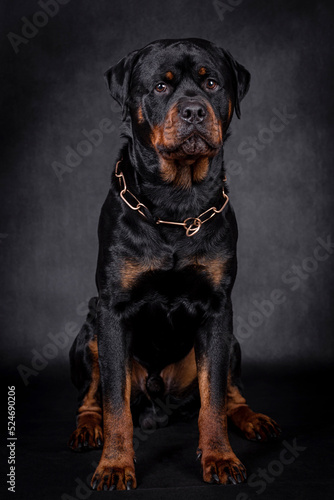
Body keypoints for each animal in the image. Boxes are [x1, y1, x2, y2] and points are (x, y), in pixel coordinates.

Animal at [68, 38, 282, 488]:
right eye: (161, 87)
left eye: (212, 83)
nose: (194, 110)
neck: (176, 205)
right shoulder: (112, 310)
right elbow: (115, 403)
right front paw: (115, 464)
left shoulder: (218, 310)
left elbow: (213, 398)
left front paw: (219, 457)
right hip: (89, 331)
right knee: (93, 396)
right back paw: (88, 428)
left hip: (233, 342)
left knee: (227, 395)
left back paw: (252, 419)